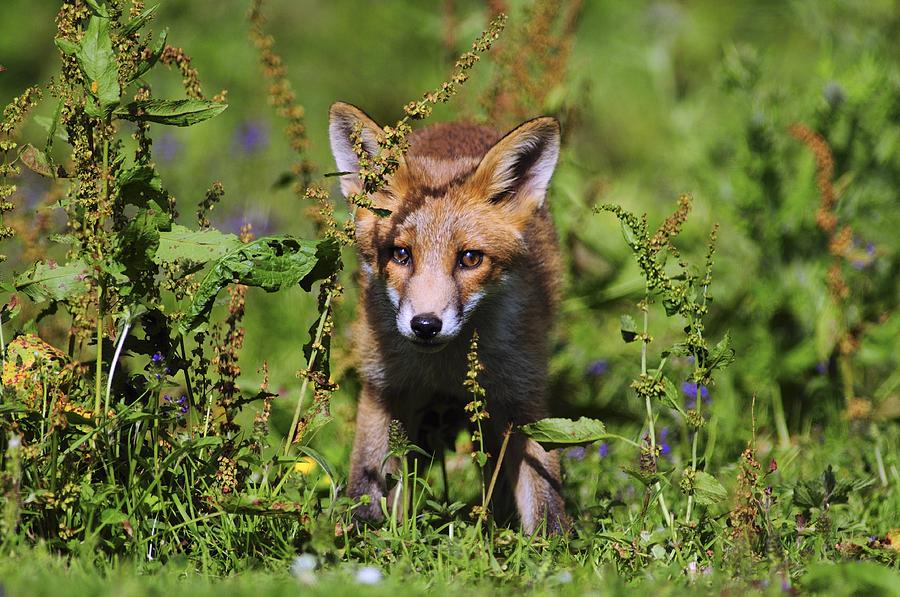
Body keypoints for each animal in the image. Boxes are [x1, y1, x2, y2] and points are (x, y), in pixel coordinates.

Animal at [330, 100, 568, 532]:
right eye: (400, 254)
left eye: (470, 258)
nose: (426, 325)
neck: (445, 366)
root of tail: (458, 126)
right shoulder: (384, 387)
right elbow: (368, 480)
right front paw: (360, 534)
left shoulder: (523, 397)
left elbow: (545, 500)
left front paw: (553, 546)